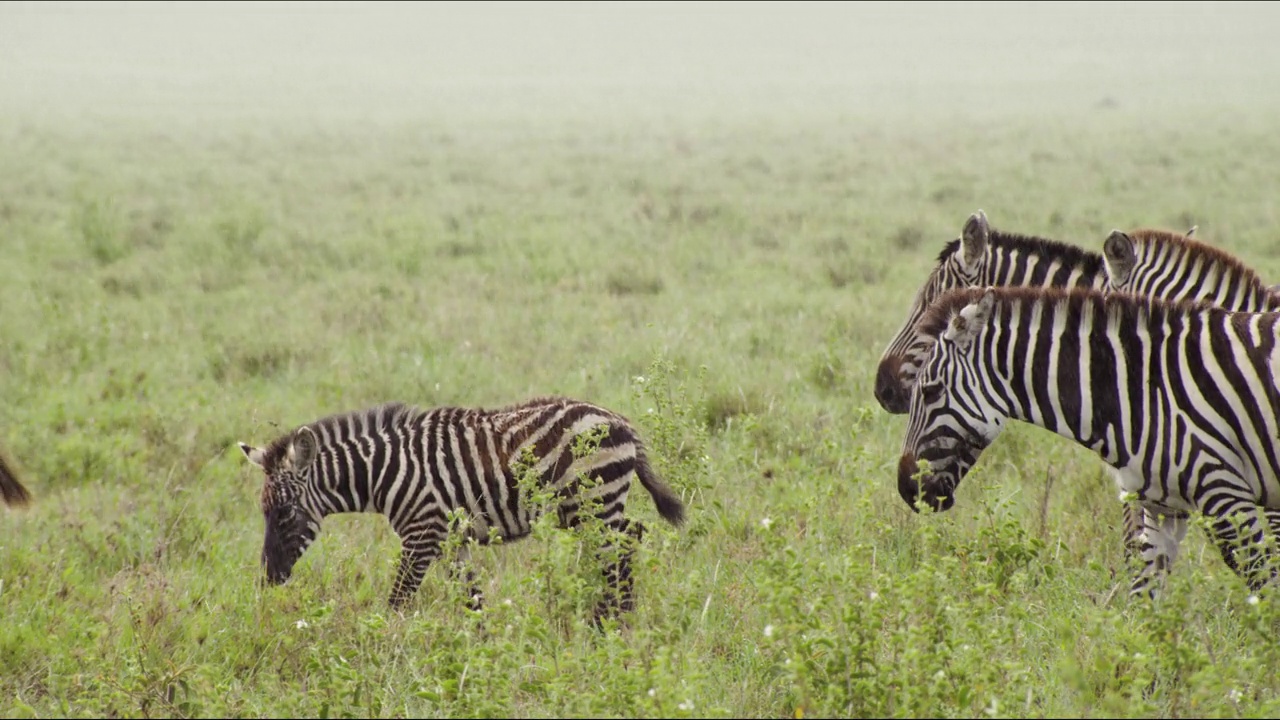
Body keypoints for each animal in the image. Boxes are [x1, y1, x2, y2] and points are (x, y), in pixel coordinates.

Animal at [235, 394, 686, 625]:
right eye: (264, 514)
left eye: (285, 514)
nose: (268, 579)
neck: (384, 474)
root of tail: (618, 419)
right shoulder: (452, 541)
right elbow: (473, 601)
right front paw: (481, 651)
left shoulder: (422, 535)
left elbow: (397, 601)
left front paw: (384, 647)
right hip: (592, 507)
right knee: (630, 538)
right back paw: (616, 618)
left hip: (594, 500)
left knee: (620, 546)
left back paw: (610, 623)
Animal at [896, 284, 1280, 594]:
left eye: (930, 391)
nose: (905, 488)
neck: (1140, 389)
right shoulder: (1163, 508)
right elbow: (1144, 602)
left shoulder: (1223, 493)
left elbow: (1264, 586)